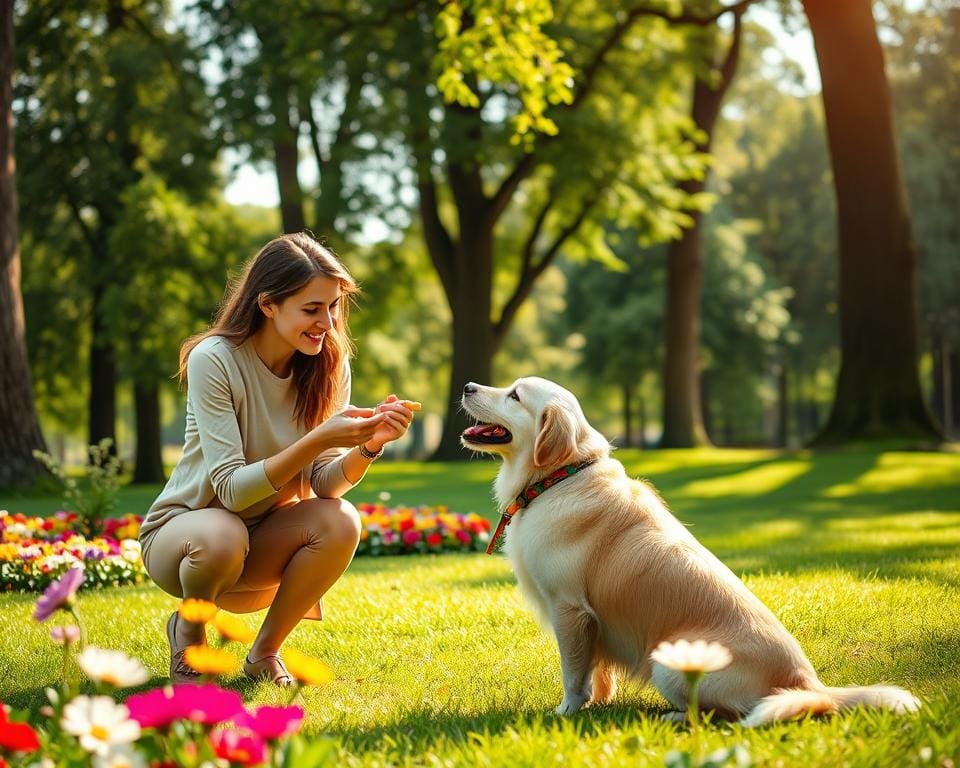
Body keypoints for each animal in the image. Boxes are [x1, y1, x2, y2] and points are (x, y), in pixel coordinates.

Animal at [462, 378, 920, 728]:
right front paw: (600, 703)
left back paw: (673, 717)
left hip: (667, 664)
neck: (559, 477)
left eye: (515, 395)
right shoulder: (592, 622)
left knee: (724, 715)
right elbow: (599, 671)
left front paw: (566, 712)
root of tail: (809, 686)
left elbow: (574, 674)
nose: (467, 386)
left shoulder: (570, 608)